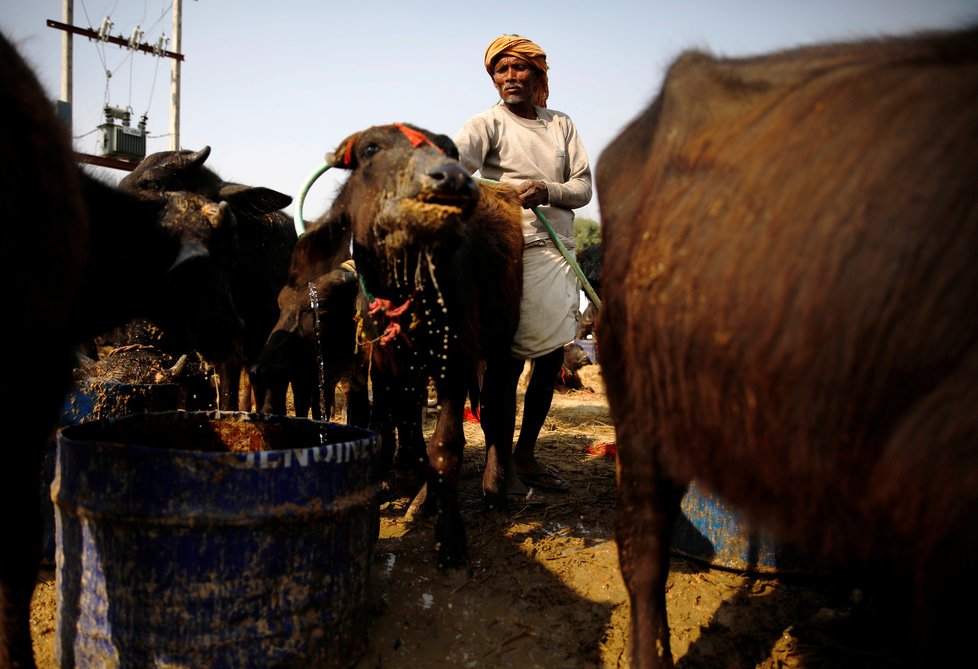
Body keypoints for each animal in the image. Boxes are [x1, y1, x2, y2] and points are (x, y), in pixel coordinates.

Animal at [316, 122, 524, 568]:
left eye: (445, 150)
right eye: (370, 149)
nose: (444, 181)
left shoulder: (455, 360)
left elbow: (445, 445)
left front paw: (451, 537)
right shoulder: (385, 363)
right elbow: (391, 426)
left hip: (499, 348)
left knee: (496, 413)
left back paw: (495, 493)